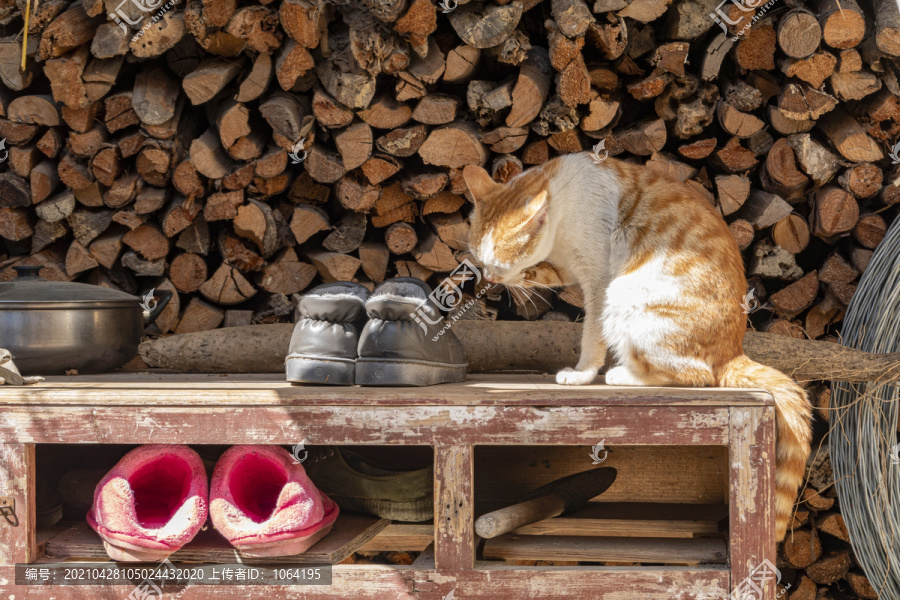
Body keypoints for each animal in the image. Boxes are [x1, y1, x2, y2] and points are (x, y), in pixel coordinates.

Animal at [464, 155, 816, 540]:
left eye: (499, 264)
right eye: (481, 261)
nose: (490, 278)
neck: (562, 199)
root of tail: (733, 351)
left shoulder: (598, 279)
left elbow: (592, 332)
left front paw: (583, 373)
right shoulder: (565, 265)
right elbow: (543, 273)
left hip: (625, 294)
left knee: (697, 375)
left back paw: (623, 376)